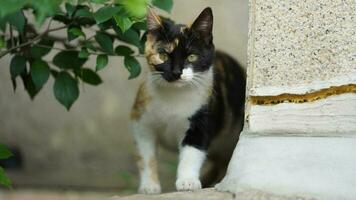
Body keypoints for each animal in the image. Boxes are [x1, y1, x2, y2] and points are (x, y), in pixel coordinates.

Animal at [130, 7, 245, 194]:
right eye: (163, 55)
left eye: (191, 57)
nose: (176, 72)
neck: (174, 97)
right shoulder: (140, 121)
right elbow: (146, 155)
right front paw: (149, 185)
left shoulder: (202, 119)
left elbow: (192, 152)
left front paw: (187, 182)